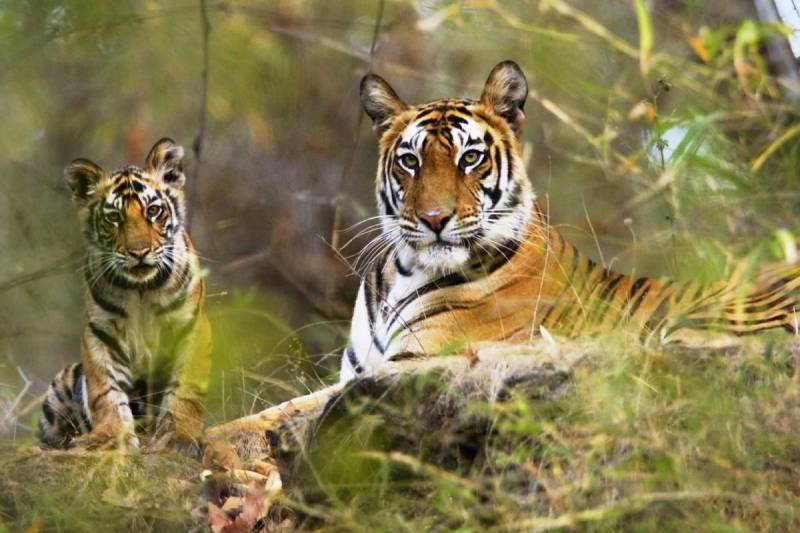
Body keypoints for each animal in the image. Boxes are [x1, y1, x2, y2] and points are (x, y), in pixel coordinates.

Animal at [39, 138, 212, 452]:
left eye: (153, 211)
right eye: (114, 218)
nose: (139, 252)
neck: (142, 290)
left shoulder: (191, 328)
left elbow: (185, 392)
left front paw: (178, 436)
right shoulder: (100, 333)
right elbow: (105, 392)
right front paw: (111, 436)